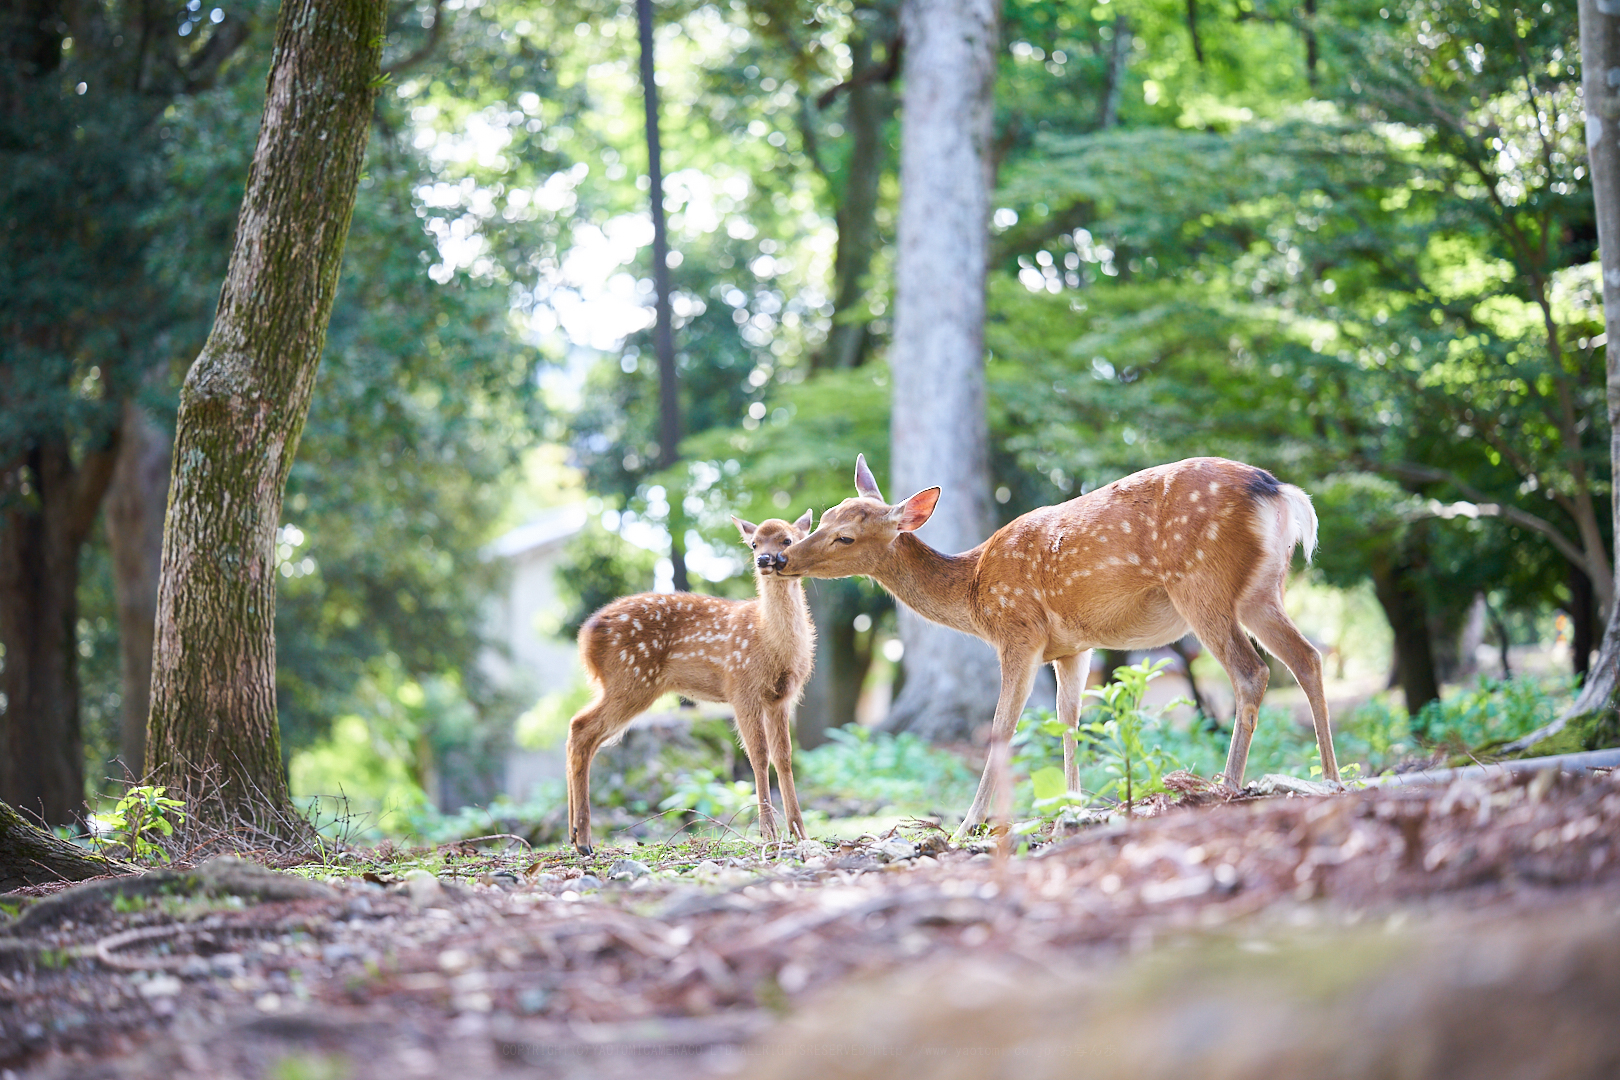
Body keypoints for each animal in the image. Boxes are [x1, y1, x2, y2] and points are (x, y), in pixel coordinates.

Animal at [573, 511, 822, 854]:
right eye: (754, 542)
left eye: (787, 539)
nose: (763, 559)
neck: (769, 640)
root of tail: (585, 637)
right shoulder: (741, 687)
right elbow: (758, 756)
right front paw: (768, 833)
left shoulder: (781, 698)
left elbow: (784, 757)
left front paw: (800, 831)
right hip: (630, 679)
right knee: (580, 728)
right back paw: (583, 840)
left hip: (624, 683)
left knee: (582, 732)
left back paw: (575, 835)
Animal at [777, 456, 1334, 835]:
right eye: (824, 516)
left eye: (846, 537)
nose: (780, 559)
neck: (974, 592)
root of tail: (1280, 491)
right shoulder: (1072, 647)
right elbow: (1070, 719)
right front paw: (1072, 807)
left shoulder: (1018, 632)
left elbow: (1002, 729)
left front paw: (967, 827)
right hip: (1262, 591)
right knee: (1307, 657)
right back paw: (1330, 779)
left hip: (1203, 583)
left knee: (1251, 672)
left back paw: (1228, 786)